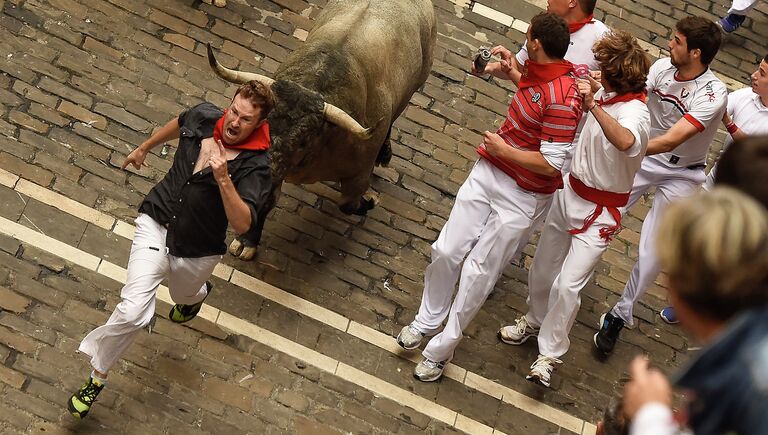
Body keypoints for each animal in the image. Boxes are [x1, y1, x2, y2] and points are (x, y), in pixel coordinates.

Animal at [210, 0, 436, 260]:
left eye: (303, 141)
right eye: (262, 126)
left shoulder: (359, 173)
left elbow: (348, 203)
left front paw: (368, 203)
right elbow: (267, 199)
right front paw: (247, 241)